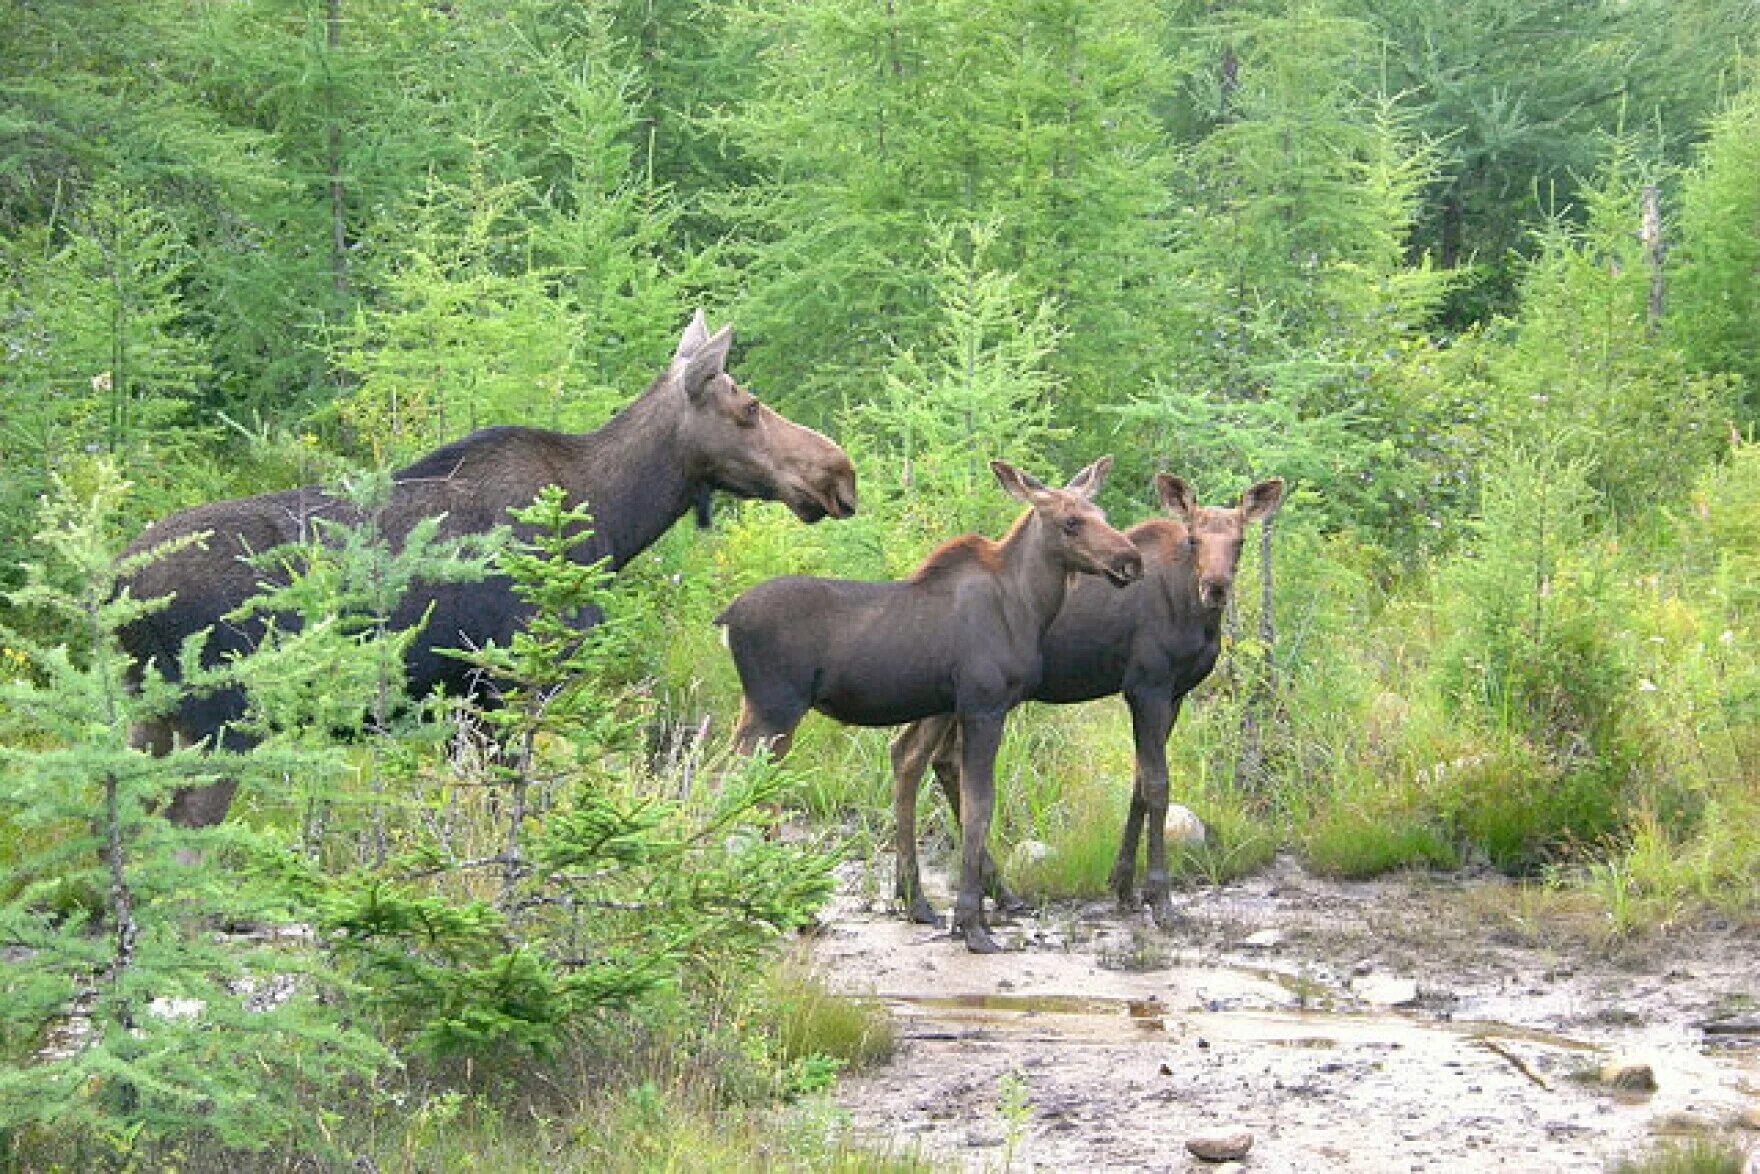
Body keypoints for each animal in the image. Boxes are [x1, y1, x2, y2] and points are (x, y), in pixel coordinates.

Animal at [120, 309, 855, 827]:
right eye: (749, 407)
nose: (839, 473)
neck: (611, 520)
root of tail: (115, 587)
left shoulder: (462, 704)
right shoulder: (509, 684)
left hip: (150, 718)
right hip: (222, 720)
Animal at [714, 457, 1140, 957]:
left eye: (1102, 514)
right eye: (1071, 521)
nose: (1131, 560)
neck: (1030, 606)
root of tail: (726, 619)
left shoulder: (944, 705)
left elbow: (914, 767)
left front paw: (929, 904)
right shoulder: (984, 704)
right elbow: (979, 804)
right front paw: (972, 925)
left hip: (768, 712)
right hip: (776, 707)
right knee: (728, 781)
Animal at [894, 471, 1281, 929]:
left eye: (1240, 540)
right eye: (1193, 538)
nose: (1216, 587)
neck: (1195, 616)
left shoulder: (1175, 694)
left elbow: (1139, 782)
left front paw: (1124, 886)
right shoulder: (1147, 687)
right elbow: (1158, 785)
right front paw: (1160, 898)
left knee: (928, 757)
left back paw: (986, 893)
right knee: (916, 757)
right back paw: (925, 898)